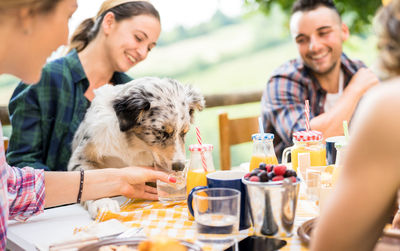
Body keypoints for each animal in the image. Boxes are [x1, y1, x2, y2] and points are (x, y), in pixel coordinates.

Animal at [68, 76, 203, 218]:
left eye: (184, 132)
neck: (135, 143)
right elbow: (90, 179)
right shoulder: (81, 156)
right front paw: (102, 202)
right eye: (161, 132)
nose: (180, 167)